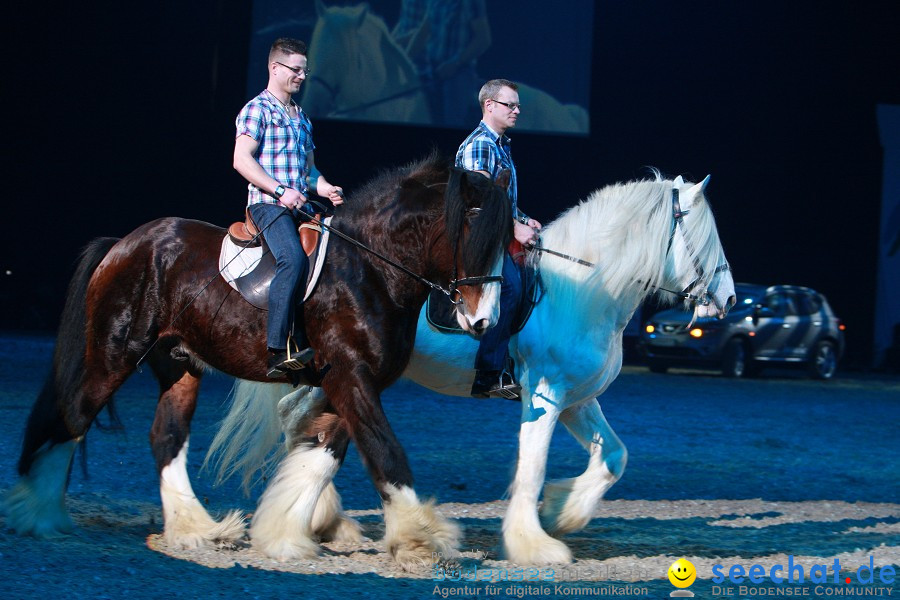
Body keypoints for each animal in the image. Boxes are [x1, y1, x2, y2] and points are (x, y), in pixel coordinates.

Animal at [5, 152, 512, 564]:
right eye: (471, 227)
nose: (483, 320)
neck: (370, 268)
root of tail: (122, 244)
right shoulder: (349, 374)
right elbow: (384, 450)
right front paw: (420, 538)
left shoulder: (349, 382)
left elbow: (323, 455)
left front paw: (284, 532)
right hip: (114, 355)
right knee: (72, 415)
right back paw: (39, 514)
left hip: (179, 363)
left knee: (165, 436)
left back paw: (197, 530)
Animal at [214, 173, 736, 568]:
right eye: (705, 238)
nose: (730, 298)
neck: (585, 289)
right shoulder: (545, 393)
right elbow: (532, 467)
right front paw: (534, 543)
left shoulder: (578, 400)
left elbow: (614, 457)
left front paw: (563, 511)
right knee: (302, 418)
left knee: (295, 415)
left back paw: (323, 520)